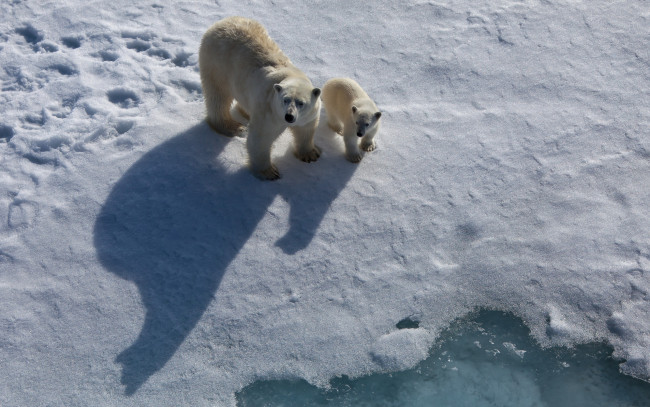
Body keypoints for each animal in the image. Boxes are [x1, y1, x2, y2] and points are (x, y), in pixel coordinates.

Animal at [196, 17, 320, 180]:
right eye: (285, 100)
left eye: (301, 103)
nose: (289, 116)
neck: (289, 76)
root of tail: (220, 23)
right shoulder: (269, 112)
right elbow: (260, 139)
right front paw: (269, 172)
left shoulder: (308, 114)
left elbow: (306, 130)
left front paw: (311, 154)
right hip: (216, 64)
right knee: (218, 97)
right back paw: (233, 126)